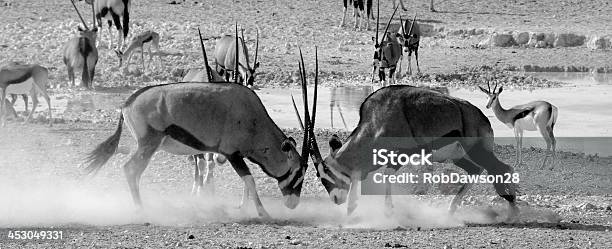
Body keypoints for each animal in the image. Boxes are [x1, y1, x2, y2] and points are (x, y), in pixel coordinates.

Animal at [83, 31, 308, 220]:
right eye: (298, 171)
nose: (293, 203)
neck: (253, 118)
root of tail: (128, 103)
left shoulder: (230, 155)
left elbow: (244, 182)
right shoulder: (232, 154)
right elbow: (250, 180)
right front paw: (264, 213)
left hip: (147, 145)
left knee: (124, 159)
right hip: (148, 145)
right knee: (130, 169)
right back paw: (141, 210)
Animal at [290, 53, 516, 221]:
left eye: (324, 173)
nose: (336, 199)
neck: (376, 121)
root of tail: (481, 117)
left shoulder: (401, 155)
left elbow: (387, 176)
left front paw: (387, 212)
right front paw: (352, 209)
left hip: (477, 151)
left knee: (500, 169)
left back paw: (514, 212)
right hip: (456, 156)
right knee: (477, 170)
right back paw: (451, 211)